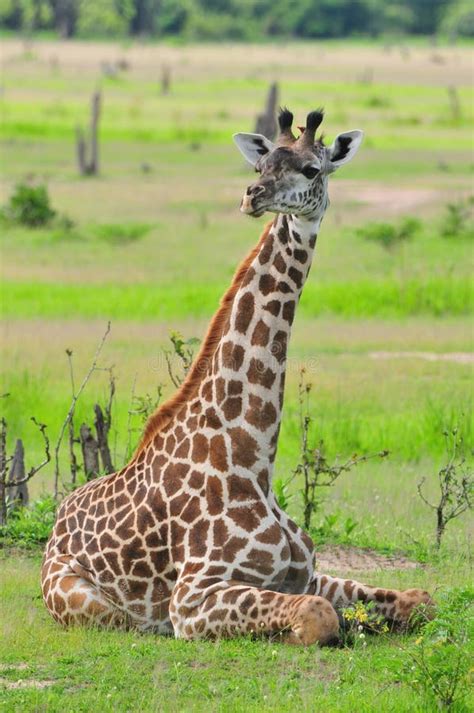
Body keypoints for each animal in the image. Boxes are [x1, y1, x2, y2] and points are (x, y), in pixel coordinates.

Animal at [41, 107, 434, 644]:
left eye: (312, 168)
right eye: (260, 165)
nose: (254, 196)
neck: (251, 459)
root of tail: (56, 520)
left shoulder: (308, 574)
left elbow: (421, 601)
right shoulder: (191, 599)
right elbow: (318, 616)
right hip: (90, 605)